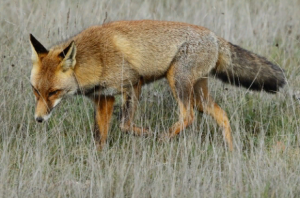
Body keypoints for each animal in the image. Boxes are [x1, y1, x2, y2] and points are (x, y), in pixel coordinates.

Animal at [29, 19, 284, 150]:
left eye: (53, 92)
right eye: (36, 91)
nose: (38, 120)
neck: (96, 57)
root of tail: (213, 36)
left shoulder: (133, 83)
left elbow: (124, 124)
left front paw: (147, 134)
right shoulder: (104, 97)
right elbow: (100, 134)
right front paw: (99, 158)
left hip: (177, 81)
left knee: (187, 116)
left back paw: (163, 137)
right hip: (198, 94)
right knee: (222, 115)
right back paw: (231, 152)